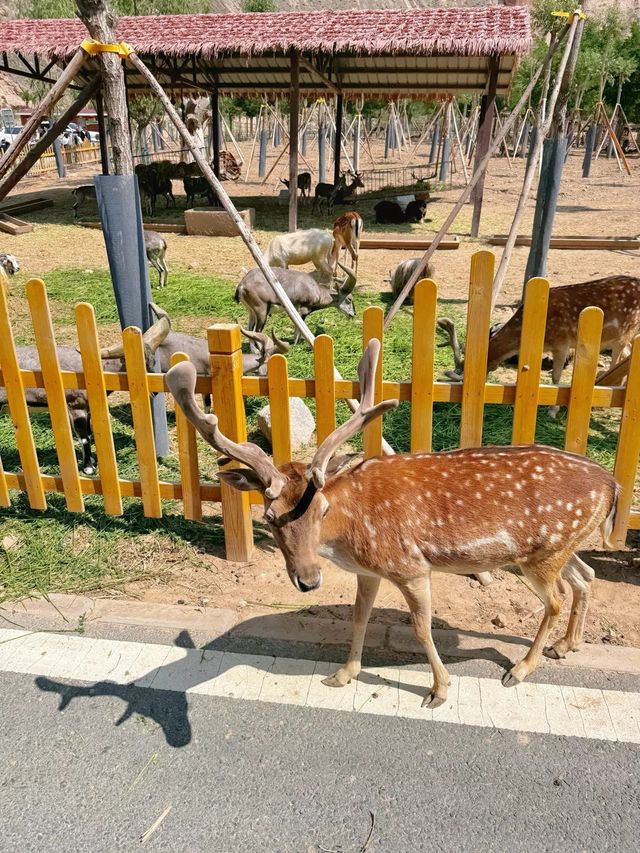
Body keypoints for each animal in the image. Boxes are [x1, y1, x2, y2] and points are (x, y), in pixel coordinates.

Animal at [166, 342, 620, 708]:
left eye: (323, 509)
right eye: (269, 517)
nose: (309, 580)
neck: (349, 535)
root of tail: (612, 484)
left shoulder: (411, 566)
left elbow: (421, 628)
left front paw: (439, 690)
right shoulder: (369, 572)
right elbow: (359, 616)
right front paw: (342, 675)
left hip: (541, 556)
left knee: (556, 599)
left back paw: (521, 668)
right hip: (562, 546)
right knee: (586, 575)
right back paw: (566, 646)